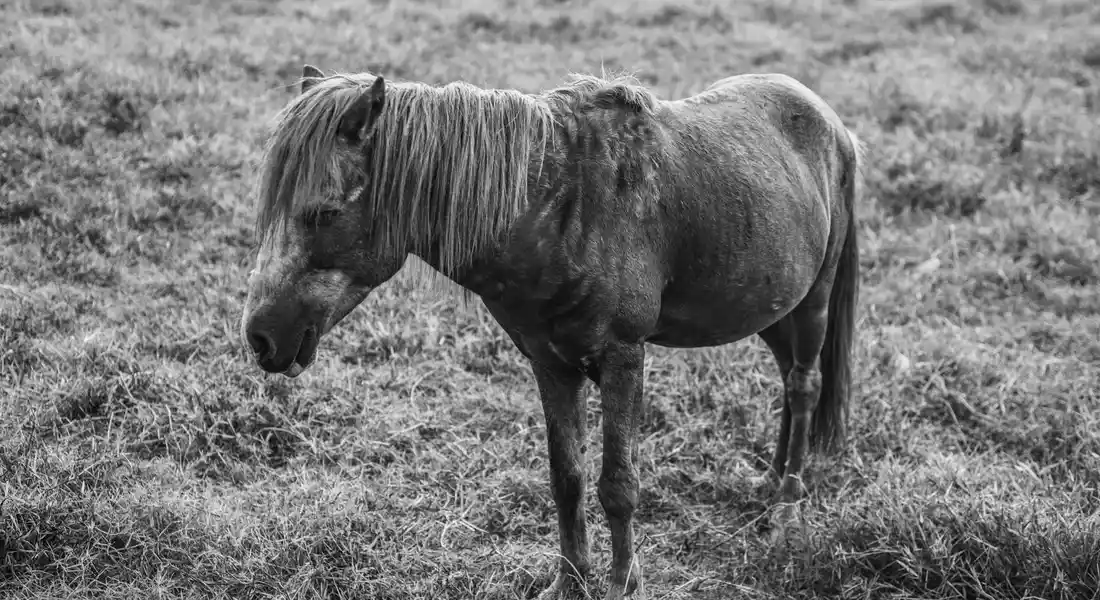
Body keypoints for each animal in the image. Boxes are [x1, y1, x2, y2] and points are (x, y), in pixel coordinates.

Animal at [239, 64, 862, 600]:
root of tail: (830, 122)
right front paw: (569, 582)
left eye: (324, 213)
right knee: (787, 381)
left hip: (813, 302)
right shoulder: (550, 361)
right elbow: (567, 478)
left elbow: (618, 486)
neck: (562, 206)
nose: (261, 338)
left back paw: (785, 511)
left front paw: (621, 586)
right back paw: (773, 481)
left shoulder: (622, 358)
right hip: (772, 308)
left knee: (804, 386)